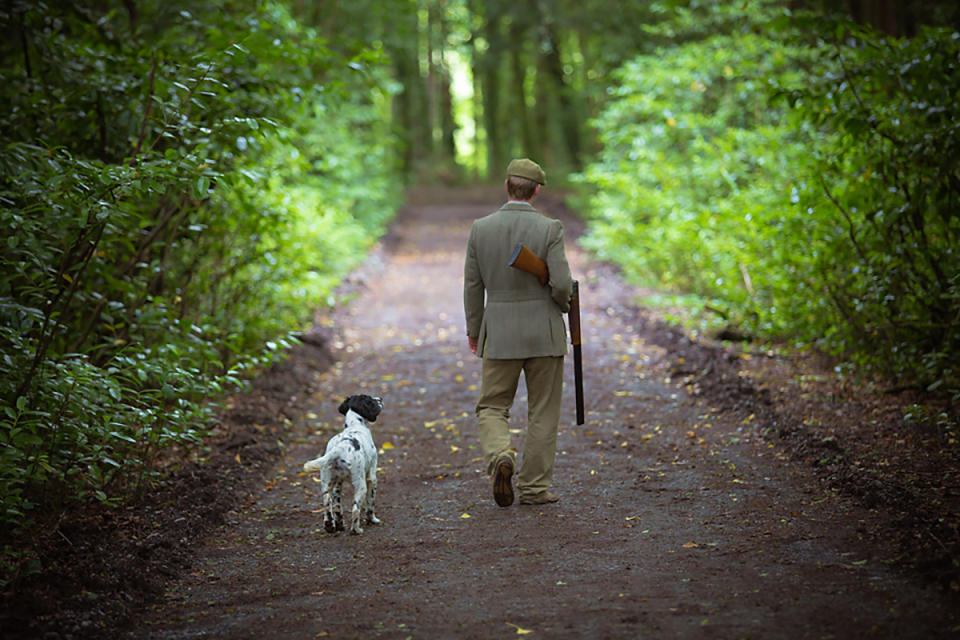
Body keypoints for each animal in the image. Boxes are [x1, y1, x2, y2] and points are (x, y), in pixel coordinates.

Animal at [306, 396, 384, 536]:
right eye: (371, 400)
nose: (380, 398)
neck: (355, 425)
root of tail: (340, 447)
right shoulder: (372, 477)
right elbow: (370, 503)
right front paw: (373, 520)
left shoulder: (338, 483)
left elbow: (337, 507)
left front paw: (339, 525)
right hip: (360, 485)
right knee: (355, 509)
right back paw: (356, 530)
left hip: (327, 483)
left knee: (329, 504)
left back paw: (331, 526)